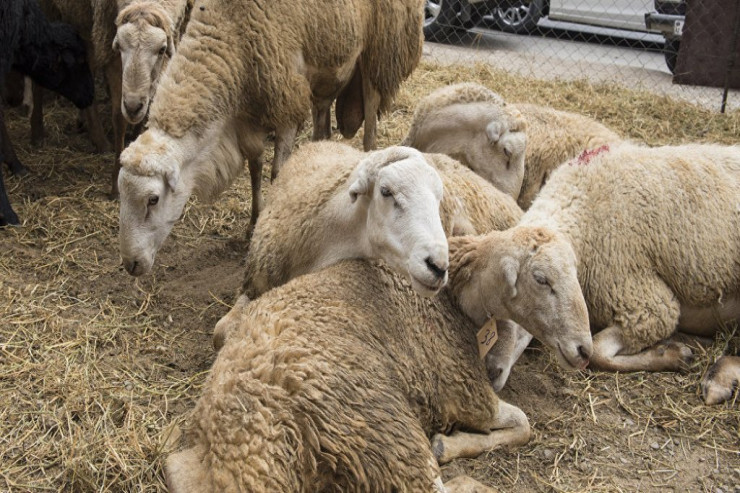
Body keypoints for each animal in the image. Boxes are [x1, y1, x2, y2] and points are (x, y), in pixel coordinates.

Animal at [118, 0, 424, 276]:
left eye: (153, 199)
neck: (231, 33)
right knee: (322, 125)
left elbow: (277, 173)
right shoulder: (246, 119)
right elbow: (255, 168)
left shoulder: (286, 102)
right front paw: (253, 224)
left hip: (378, 53)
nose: (131, 265)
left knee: (371, 119)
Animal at [165, 226, 592, 488]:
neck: (452, 300)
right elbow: (523, 424)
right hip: (382, 425)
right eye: (541, 279)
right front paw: (449, 444)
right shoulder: (465, 393)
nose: (584, 350)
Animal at [500, 142, 736, 404]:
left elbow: (598, 353)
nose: (493, 371)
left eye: (540, 280)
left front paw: (672, 354)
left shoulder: (649, 306)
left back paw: (718, 383)